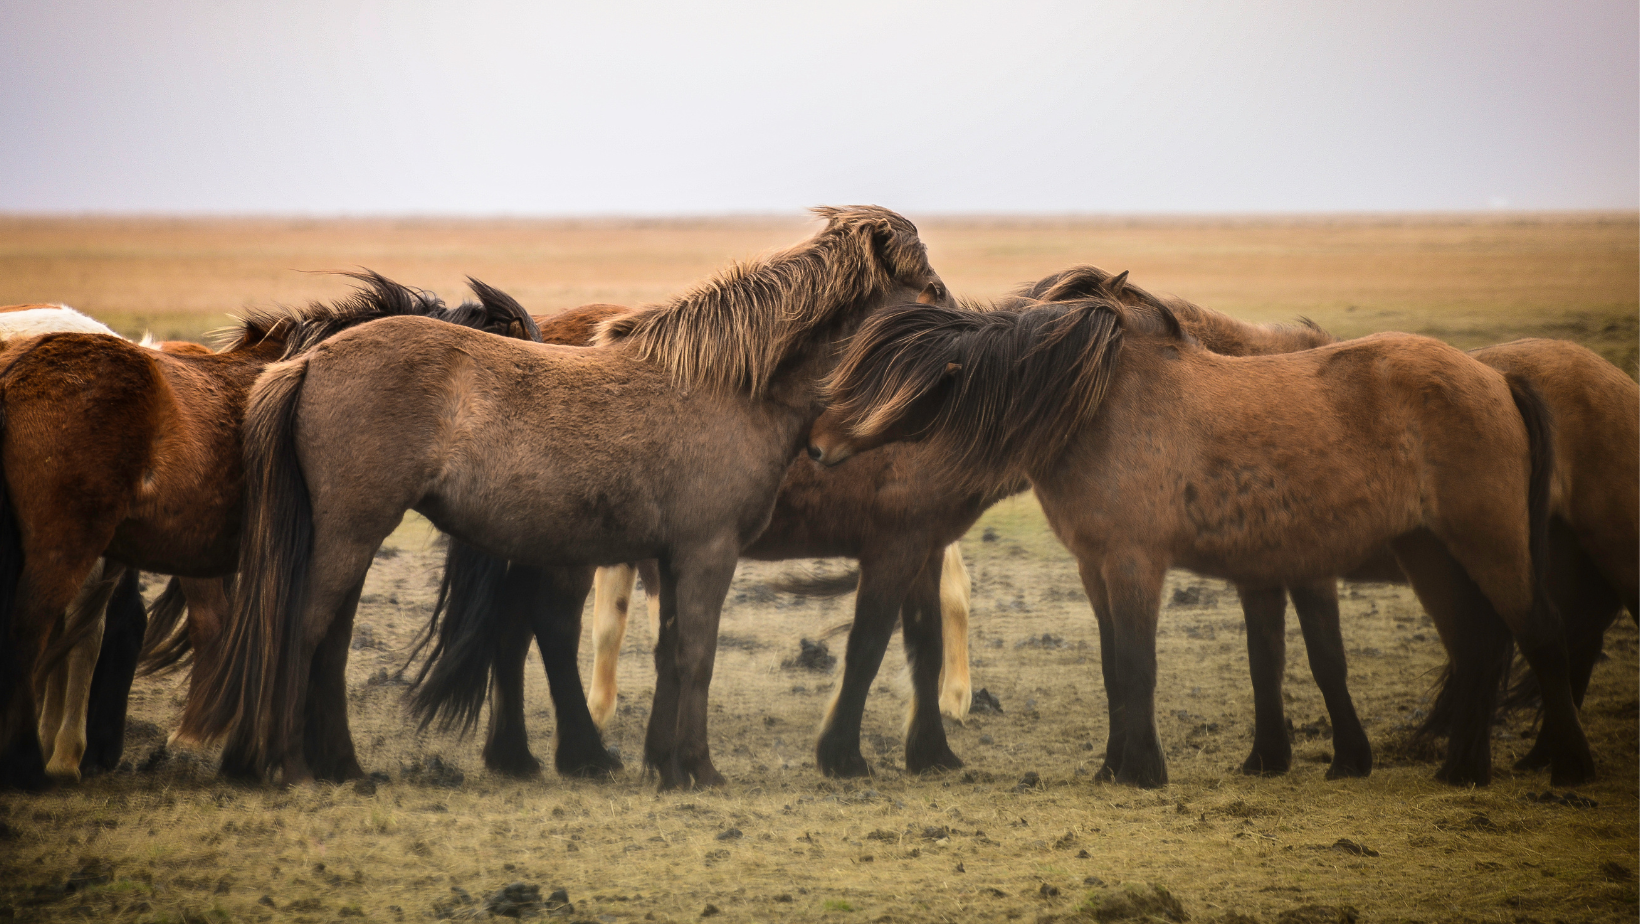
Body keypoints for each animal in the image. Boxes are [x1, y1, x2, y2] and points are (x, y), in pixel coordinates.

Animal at [178, 206, 949, 789]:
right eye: (928, 287)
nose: (958, 322)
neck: (728, 385)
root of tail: (311, 360)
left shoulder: (673, 557)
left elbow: (672, 655)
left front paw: (666, 766)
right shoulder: (708, 553)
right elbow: (697, 655)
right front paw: (700, 770)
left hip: (348, 538)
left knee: (330, 640)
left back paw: (336, 765)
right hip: (352, 532)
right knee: (303, 628)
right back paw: (285, 764)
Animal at [807, 294, 1597, 788]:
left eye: (884, 380)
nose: (813, 445)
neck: (1099, 409)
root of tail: (1495, 377)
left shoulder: (1136, 565)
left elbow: (1139, 668)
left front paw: (1144, 773)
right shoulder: (1098, 569)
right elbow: (1114, 669)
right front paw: (1113, 767)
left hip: (1490, 545)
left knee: (1541, 634)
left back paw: (1569, 766)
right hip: (1432, 554)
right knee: (1479, 647)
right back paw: (1463, 771)